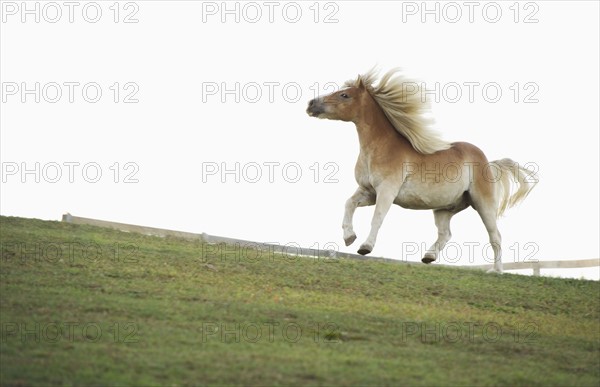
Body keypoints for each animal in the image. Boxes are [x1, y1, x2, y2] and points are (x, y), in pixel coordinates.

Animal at [308, 70, 536, 276]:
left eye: (344, 95)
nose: (311, 104)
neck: (380, 148)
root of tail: (488, 162)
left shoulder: (387, 191)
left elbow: (377, 218)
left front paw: (365, 247)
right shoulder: (369, 191)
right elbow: (349, 203)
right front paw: (349, 237)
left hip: (483, 204)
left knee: (495, 236)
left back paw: (496, 271)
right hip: (444, 209)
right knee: (446, 234)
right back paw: (428, 256)